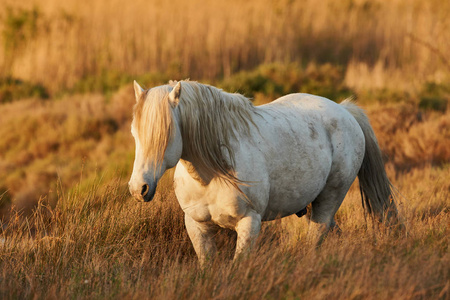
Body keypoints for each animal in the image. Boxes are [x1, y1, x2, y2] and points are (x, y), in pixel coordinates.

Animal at [128, 80, 400, 264]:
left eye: (165, 134)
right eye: (134, 133)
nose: (138, 188)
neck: (211, 175)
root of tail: (345, 110)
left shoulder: (249, 224)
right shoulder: (197, 227)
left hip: (329, 200)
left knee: (316, 236)